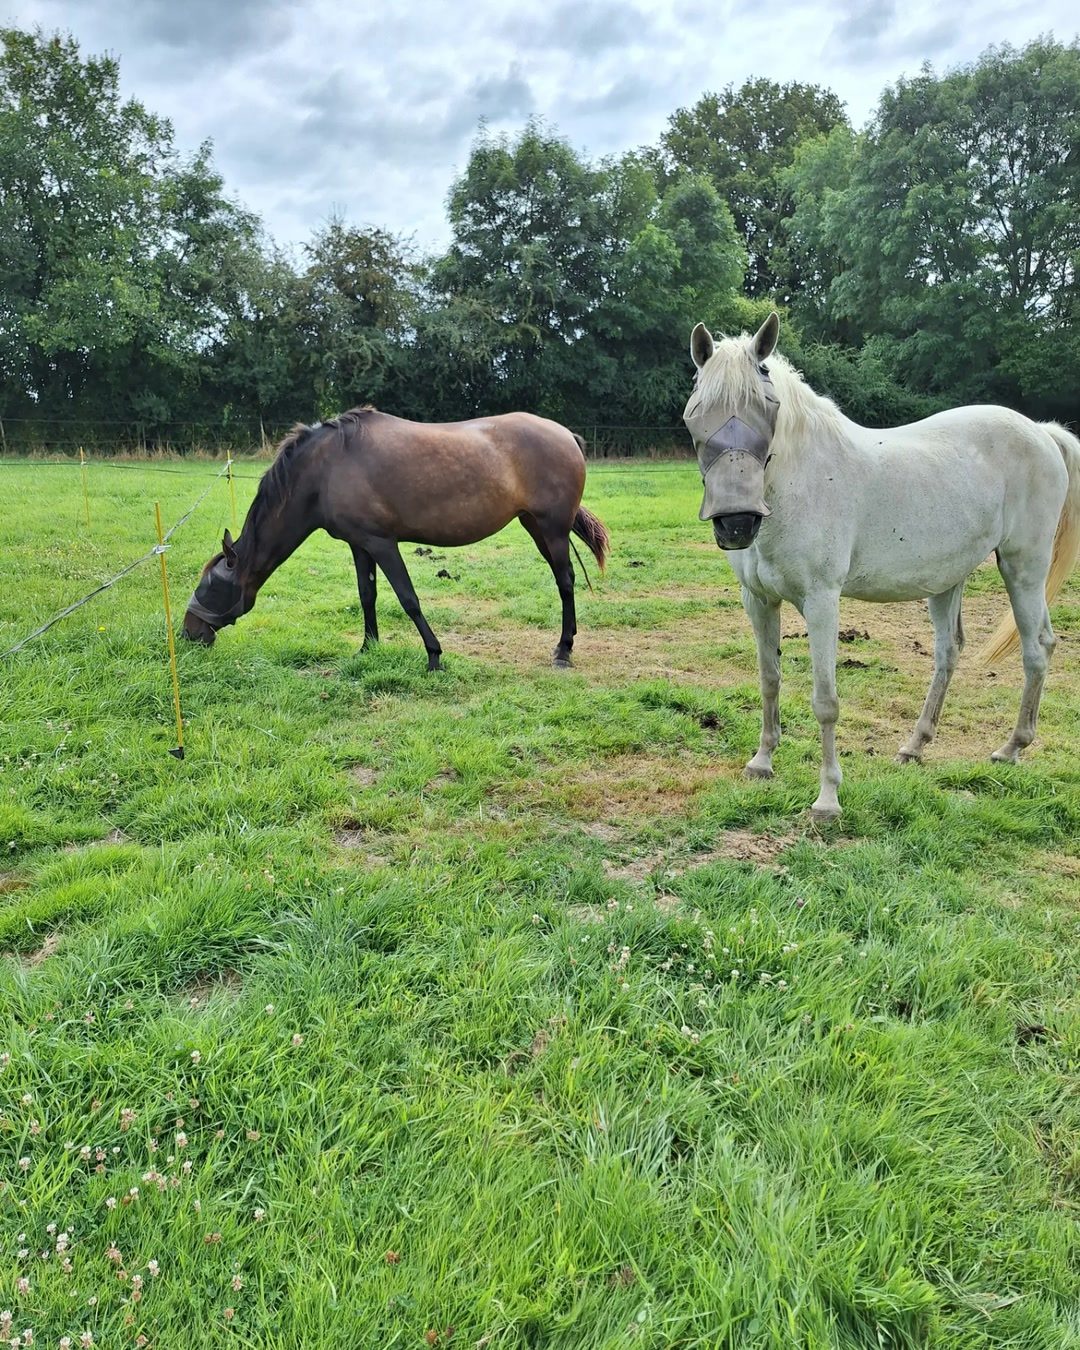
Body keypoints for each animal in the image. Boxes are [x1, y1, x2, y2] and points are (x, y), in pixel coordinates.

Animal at [182, 406, 609, 670]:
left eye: (209, 588)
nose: (189, 633)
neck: (324, 469)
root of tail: (566, 435)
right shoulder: (359, 544)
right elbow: (366, 594)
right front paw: (367, 648)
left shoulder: (381, 542)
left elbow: (408, 598)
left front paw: (434, 656)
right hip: (534, 525)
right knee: (566, 579)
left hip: (552, 528)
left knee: (565, 581)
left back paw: (564, 650)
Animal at [684, 312, 1080, 822]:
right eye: (697, 412)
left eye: (766, 408)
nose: (736, 523)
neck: (797, 481)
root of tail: (1042, 432)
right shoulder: (758, 600)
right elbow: (769, 680)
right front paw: (762, 762)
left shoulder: (821, 600)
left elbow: (825, 700)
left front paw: (828, 799)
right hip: (948, 580)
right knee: (949, 652)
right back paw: (914, 747)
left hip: (1023, 567)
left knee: (1037, 649)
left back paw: (1011, 747)